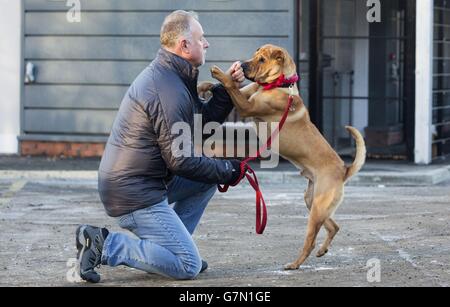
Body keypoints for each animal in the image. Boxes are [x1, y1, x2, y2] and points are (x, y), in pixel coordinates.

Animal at [202, 44, 368, 270]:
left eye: (262, 60)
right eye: (255, 56)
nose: (243, 65)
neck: (279, 84)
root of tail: (344, 170)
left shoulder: (247, 106)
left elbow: (229, 85)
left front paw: (219, 73)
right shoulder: (246, 94)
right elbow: (225, 88)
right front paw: (203, 86)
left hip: (318, 207)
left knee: (310, 240)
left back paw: (295, 264)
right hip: (312, 201)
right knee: (334, 226)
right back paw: (322, 250)